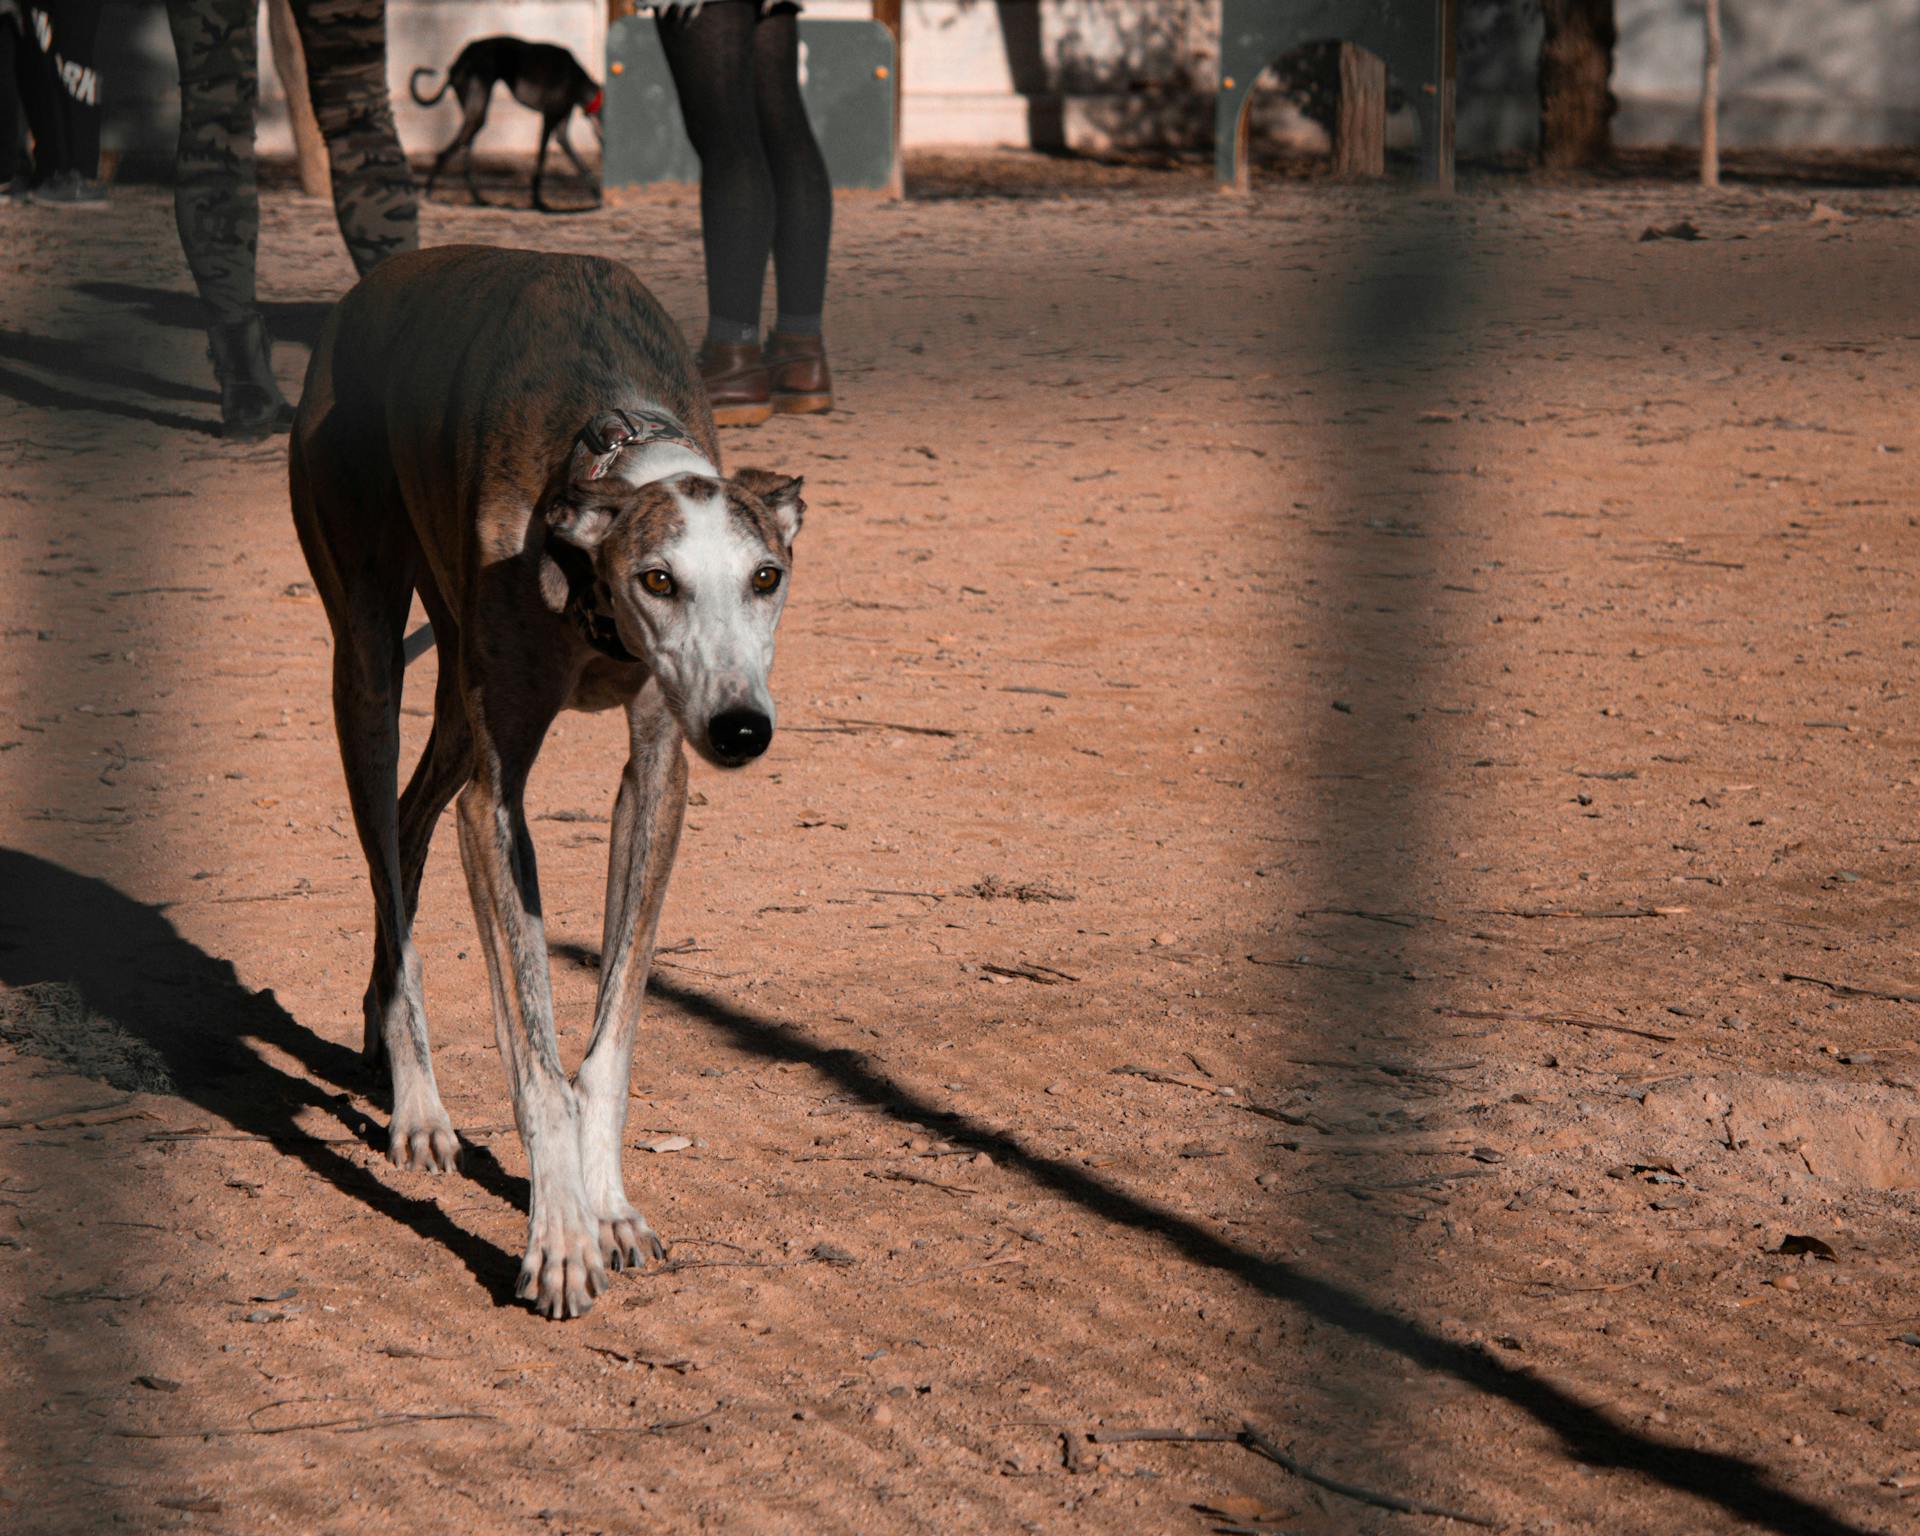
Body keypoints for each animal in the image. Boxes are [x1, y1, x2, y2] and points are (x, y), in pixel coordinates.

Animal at [410, 36, 599, 211]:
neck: (577, 78)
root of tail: (455, 65)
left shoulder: (561, 127)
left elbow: (574, 156)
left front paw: (596, 190)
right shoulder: (549, 119)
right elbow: (540, 162)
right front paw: (537, 201)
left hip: (473, 116)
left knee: (464, 157)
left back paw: (477, 199)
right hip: (477, 114)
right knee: (444, 153)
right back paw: (428, 195)